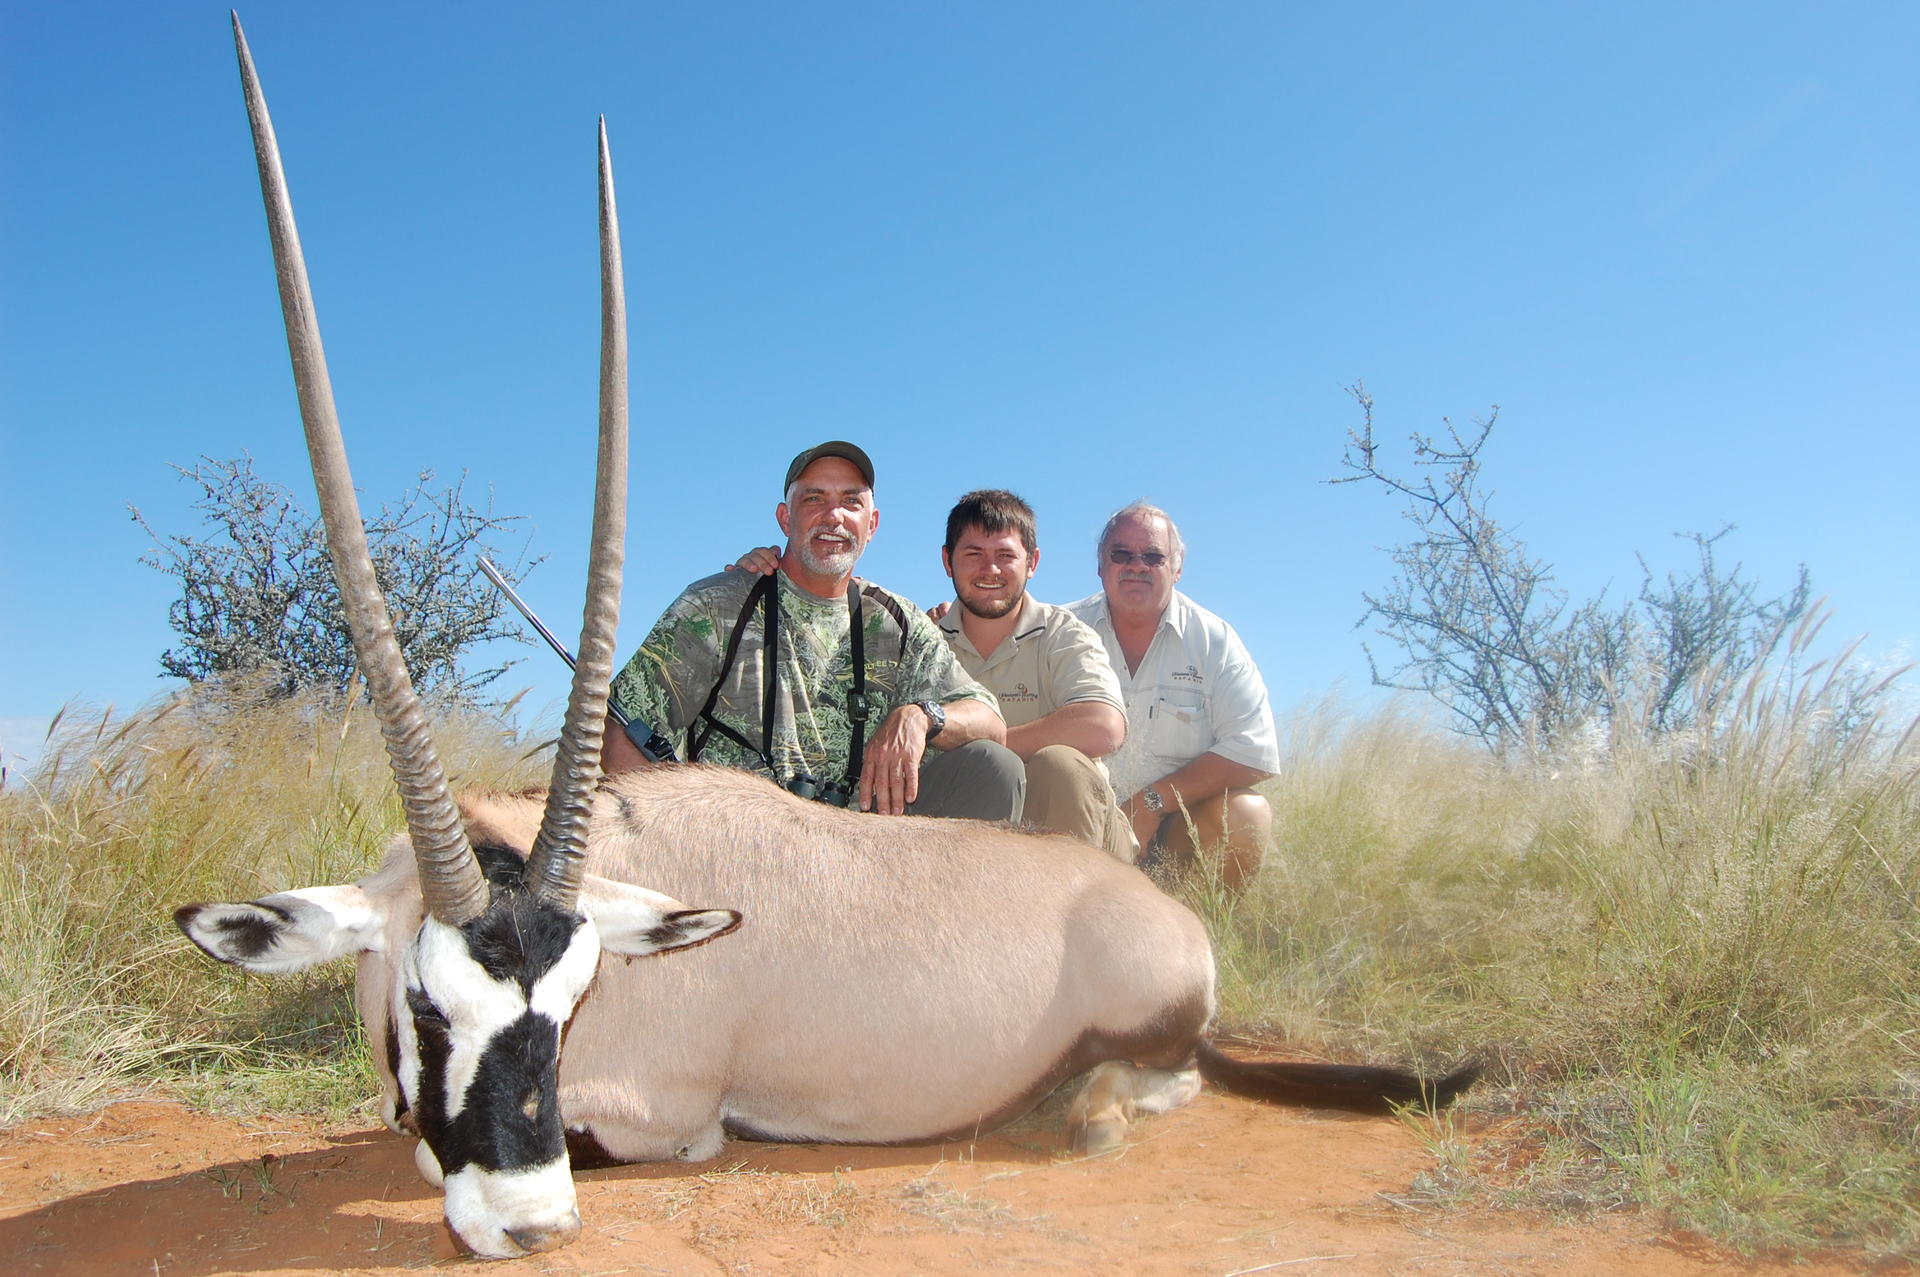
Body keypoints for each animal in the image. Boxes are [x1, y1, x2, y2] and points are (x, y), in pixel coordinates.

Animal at [176, 14, 1466, 1259]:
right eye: (427, 1003)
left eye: (571, 1001)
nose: (531, 1221)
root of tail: (1163, 915)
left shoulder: (658, 1114)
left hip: (1151, 1030)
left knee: (1166, 1079)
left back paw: (1085, 1108)